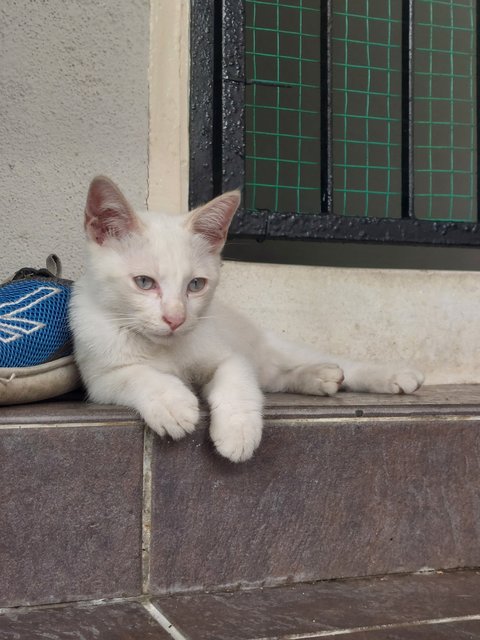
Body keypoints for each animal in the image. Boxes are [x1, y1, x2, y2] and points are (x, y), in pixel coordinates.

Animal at [70, 178, 424, 462]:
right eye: (144, 282)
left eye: (195, 285)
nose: (175, 318)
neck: (166, 348)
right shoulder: (99, 378)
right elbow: (138, 375)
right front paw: (173, 404)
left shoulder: (229, 354)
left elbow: (237, 379)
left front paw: (238, 431)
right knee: (276, 377)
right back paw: (318, 377)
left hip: (268, 345)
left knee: (320, 363)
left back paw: (390, 376)